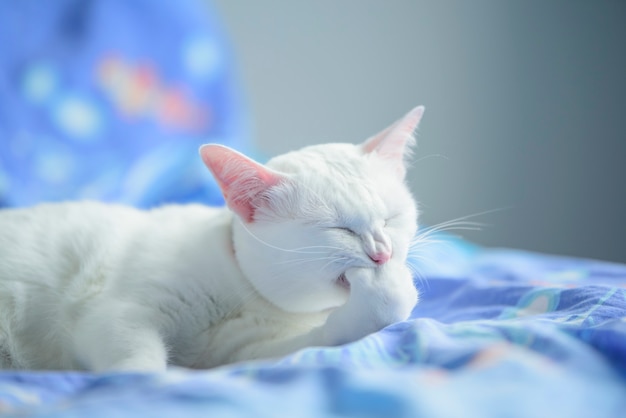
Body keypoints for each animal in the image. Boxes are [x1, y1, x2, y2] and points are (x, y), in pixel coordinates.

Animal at [0, 106, 424, 370]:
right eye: (340, 229)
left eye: (391, 219)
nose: (382, 254)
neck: (242, 291)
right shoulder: (116, 314)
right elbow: (139, 364)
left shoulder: (245, 351)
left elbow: (329, 335)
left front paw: (389, 289)